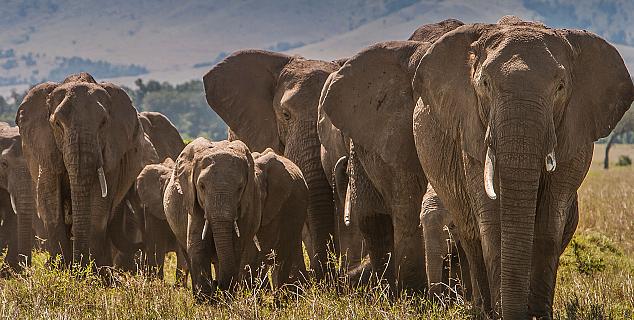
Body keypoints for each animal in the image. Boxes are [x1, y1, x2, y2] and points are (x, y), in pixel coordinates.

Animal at [15, 73, 154, 270]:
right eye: (57, 124)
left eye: (103, 123)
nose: (77, 266)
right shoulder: (46, 147)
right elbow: (50, 201)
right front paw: (61, 270)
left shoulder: (111, 153)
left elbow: (99, 206)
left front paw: (89, 273)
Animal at [163, 138, 306, 300]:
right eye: (201, 186)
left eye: (240, 188)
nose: (216, 284)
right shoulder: (193, 202)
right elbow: (198, 246)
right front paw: (206, 300)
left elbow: (239, 246)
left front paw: (225, 297)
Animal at [324, 16, 628, 318]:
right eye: (485, 84)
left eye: (561, 87)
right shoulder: (467, 130)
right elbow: (490, 221)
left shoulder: (575, 130)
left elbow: (550, 221)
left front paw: (540, 315)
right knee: (469, 231)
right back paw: (481, 309)